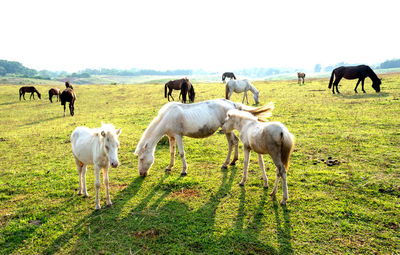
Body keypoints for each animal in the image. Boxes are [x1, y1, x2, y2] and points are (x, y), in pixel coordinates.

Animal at [133, 98, 274, 178]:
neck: (166, 117)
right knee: (235, 141)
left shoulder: (178, 136)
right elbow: (172, 152)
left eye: (141, 158)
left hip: (226, 129)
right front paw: (169, 167)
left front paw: (184, 171)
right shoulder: (171, 137)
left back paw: (226, 163)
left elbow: (181, 153)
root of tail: (232, 104)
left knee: (231, 142)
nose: (141, 174)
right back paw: (233, 161)